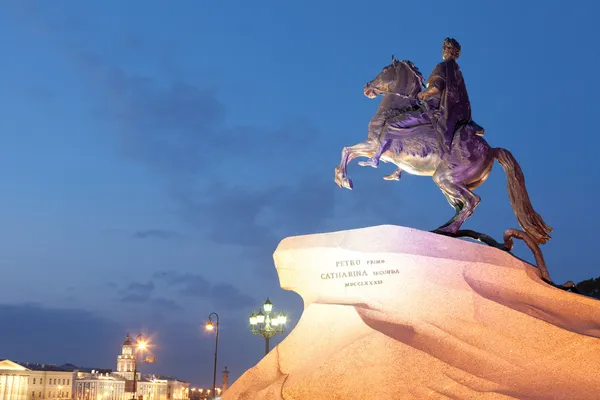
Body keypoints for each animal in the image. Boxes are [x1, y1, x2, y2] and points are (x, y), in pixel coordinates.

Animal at [332, 56, 552, 244]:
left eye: (385, 70)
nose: (367, 87)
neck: (394, 109)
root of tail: (491, 150)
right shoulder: (377, 149)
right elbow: (348, 152)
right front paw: (344, 177)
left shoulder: (373, 145)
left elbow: (347, 150)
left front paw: (344, 179)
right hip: (448, 183)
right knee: (461, 206)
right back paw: (444, 228)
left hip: (446, 179)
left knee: (472, 201)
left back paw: (448, 230)